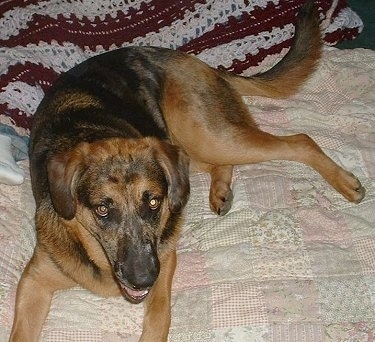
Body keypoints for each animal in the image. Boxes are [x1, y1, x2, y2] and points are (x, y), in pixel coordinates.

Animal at [10, 1, 366, 340]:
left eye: (154, 202)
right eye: (102, 209)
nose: (143, 279)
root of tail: (200, 63)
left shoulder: (164, 258)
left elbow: (159, 316)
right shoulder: (35, 279)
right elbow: (21, 332)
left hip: (204, 132)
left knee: (300, 140)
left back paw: (346, 182)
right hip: (188, 141)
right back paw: (220, 191)